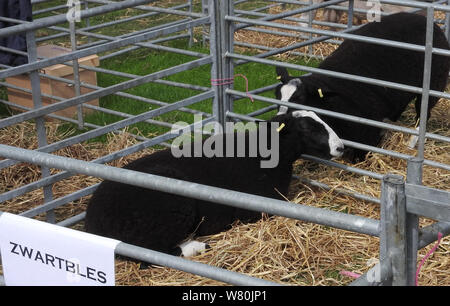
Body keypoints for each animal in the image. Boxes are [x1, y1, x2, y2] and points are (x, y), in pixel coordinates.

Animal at [85, 111, 344, 256]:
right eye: (308, 127)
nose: (341, 147)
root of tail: (92, 223)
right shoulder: (255, 211)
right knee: (147, 252)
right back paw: (196, 247)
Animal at [274, 11, 450, 161]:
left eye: (300, 100)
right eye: (277, 97)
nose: (278, 123)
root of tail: (430, 23)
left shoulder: (368, 133)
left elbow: (359, 158)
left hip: (434, 84)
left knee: (423, 114)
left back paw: (411, 143)